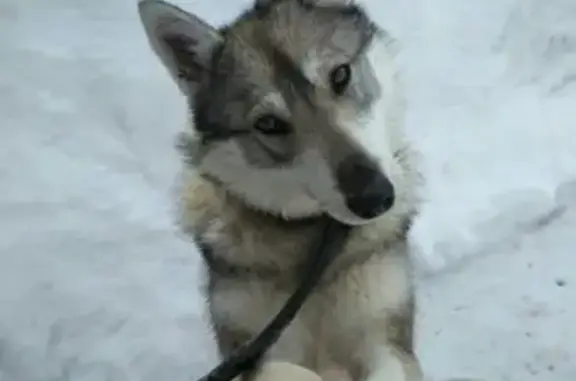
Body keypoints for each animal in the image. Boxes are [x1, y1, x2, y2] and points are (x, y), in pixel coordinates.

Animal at [140, 0, 426, 378]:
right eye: (269, 124)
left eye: (340, 76)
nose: (374, 197)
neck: (311, 238)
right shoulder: (252, 350)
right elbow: (289, 369)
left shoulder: (389, 338)